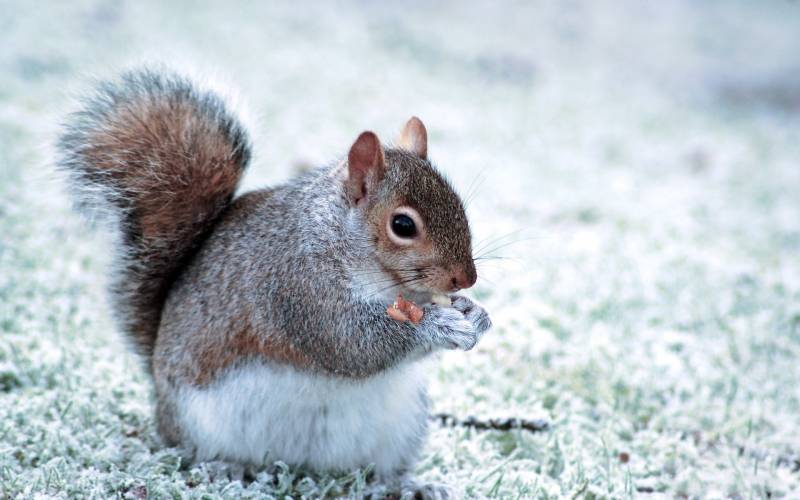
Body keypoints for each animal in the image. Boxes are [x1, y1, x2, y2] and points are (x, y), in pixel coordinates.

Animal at [56, 67, 490, 496]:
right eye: (402, 225)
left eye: (459, 205)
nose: (466, 279)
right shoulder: (296, 286)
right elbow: (352, 344)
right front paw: (438, 325)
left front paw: (475, 314)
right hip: (199, 422)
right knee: (193, 451)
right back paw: (224, 467)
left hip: (401, 425)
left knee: (376, 470)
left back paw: (405, 485)